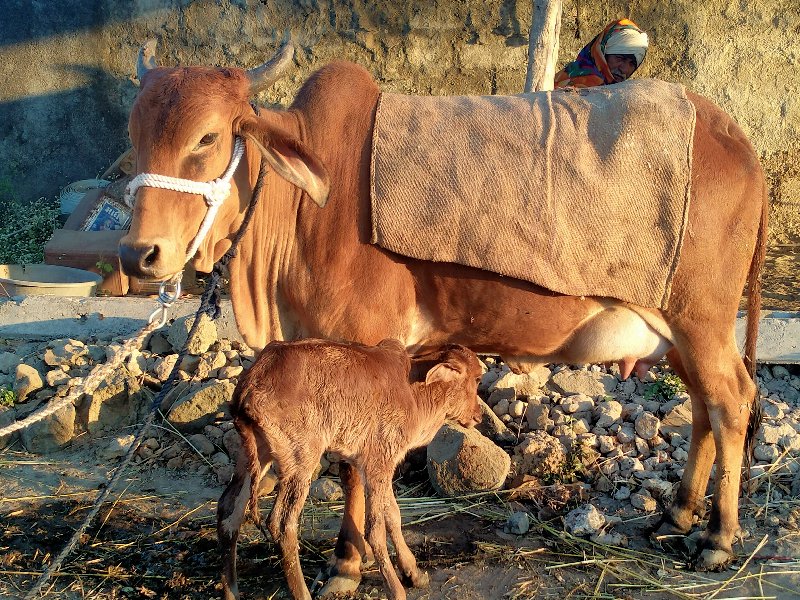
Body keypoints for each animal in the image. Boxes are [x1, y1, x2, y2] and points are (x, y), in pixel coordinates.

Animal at [212, 338, 484, 600]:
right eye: (476, 378)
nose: (478, 416)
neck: (415, 393)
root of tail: (249, 387)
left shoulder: (375, 465)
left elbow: (393, 515)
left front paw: (413, 573)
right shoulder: (378, 462)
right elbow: (376, 529)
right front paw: (396, 589)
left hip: (256, 454)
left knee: (228, 510)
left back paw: (231, 591)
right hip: (300, 459)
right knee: (281, 524)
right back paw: (302, 592)